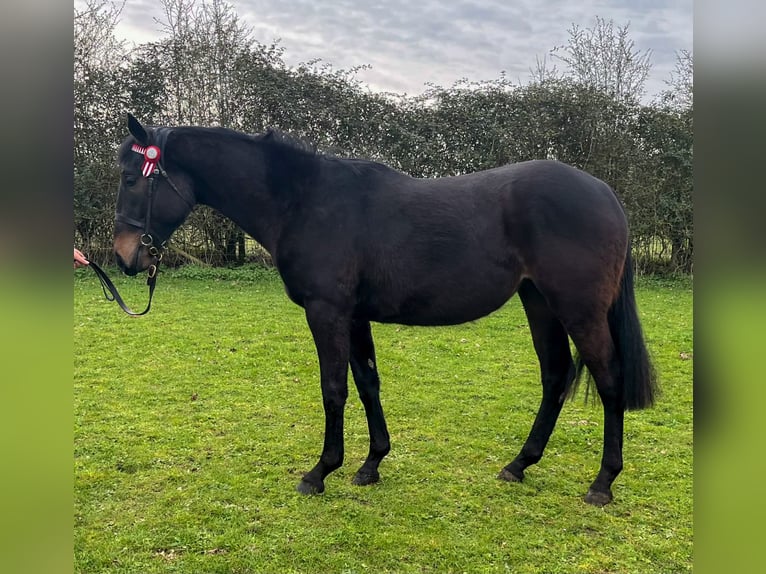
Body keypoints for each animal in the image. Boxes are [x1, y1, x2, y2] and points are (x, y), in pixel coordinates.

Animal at [113, 113, 657, 506]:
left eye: (132, 180)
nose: (123, 256)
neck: (304, 201)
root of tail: (604, 193)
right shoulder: (354, 315)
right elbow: (367, 382)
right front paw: (371, 464)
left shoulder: (327, 312)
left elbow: (333, 390)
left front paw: (319, 472)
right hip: (539, 302)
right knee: (556, 376)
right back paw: (519, 464)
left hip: (579, 310)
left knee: (608, 380)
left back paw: (602, 483)